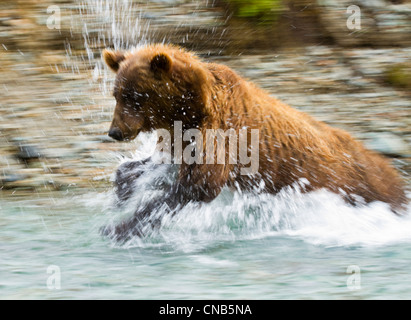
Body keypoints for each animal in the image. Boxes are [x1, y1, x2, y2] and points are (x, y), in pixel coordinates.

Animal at [102, 44, 408, 240]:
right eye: (117, 94)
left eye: (135, 96)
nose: (115, 131)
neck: (191, 108)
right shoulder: (182, 138)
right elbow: (152, 167)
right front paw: (121, 194)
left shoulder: (221, 132)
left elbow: (198, 184)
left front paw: (118, 228)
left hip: (355, 186)